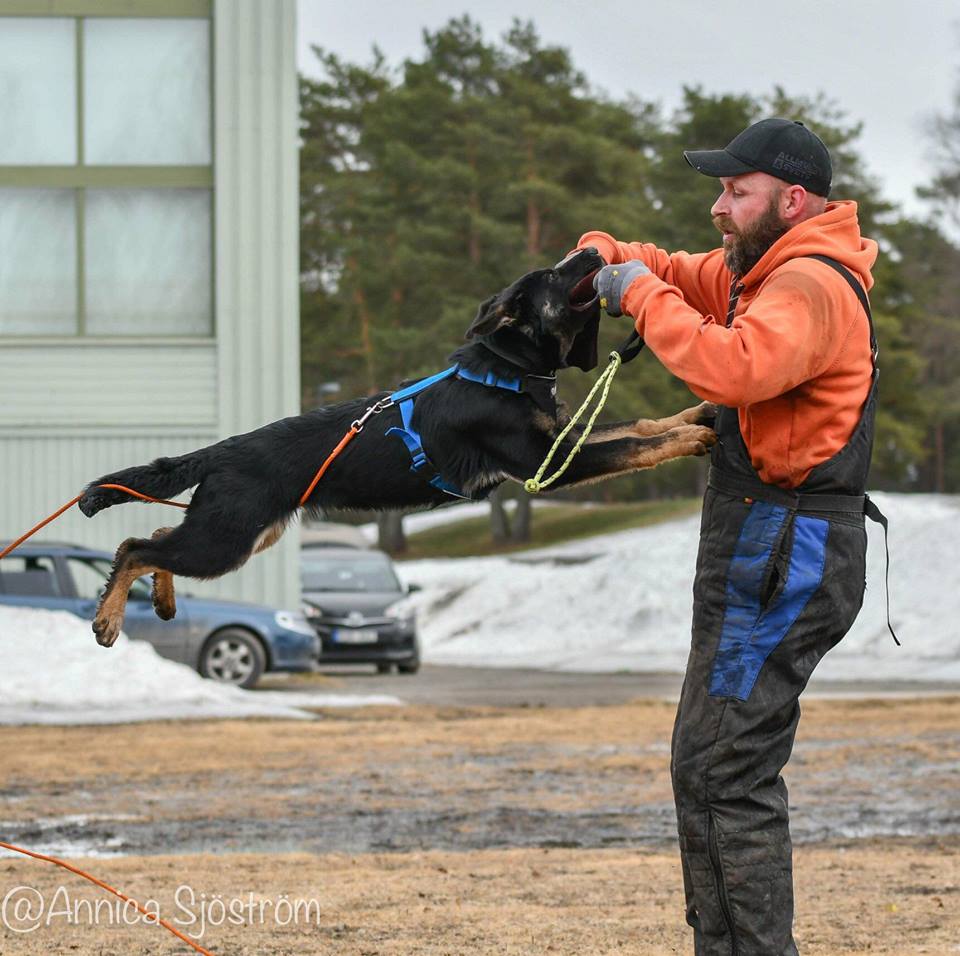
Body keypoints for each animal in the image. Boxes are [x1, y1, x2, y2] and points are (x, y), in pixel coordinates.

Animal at [79, 250, 716, 648]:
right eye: (555, 276)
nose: (593, 254)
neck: (506, 369)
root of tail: (220, 450)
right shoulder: (547, 464)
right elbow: (633, 446)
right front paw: (690, 436)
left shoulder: (557, 443)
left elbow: (636, 425)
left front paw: (692, 415)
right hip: (225, 540)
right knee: (136, 546)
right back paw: (109, 618)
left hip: (244, 534)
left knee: (158, 536)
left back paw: (161, 603)